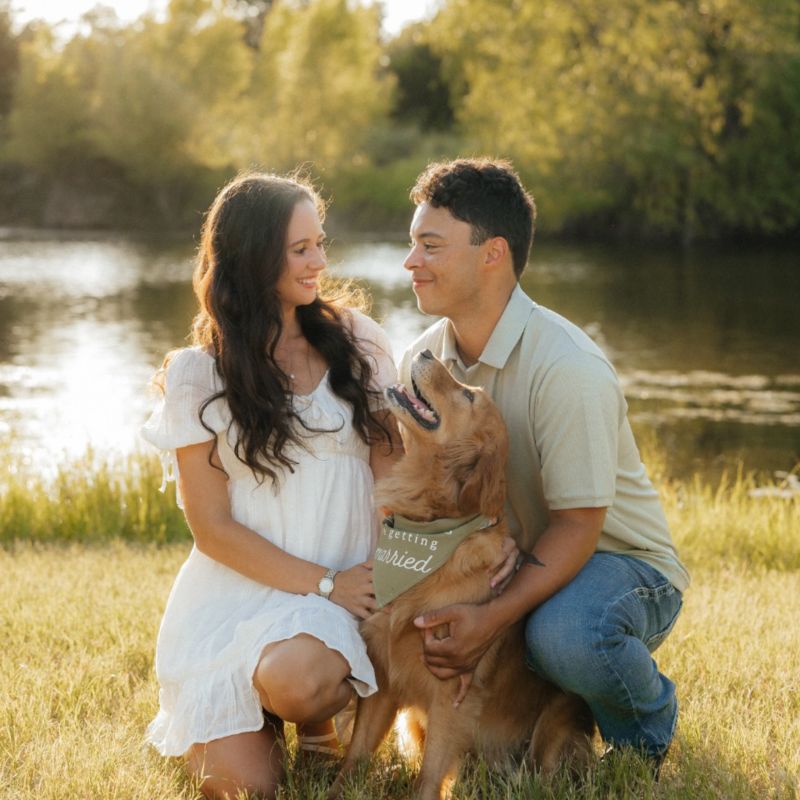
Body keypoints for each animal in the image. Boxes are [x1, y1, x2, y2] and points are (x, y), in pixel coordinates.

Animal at [330, 350, 595, 800]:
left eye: (469, 397)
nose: (424, 352)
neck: (428, 531)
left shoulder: (452, 691)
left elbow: (430, 775)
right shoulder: (383, 672)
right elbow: (356, 754)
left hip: (555, 727)